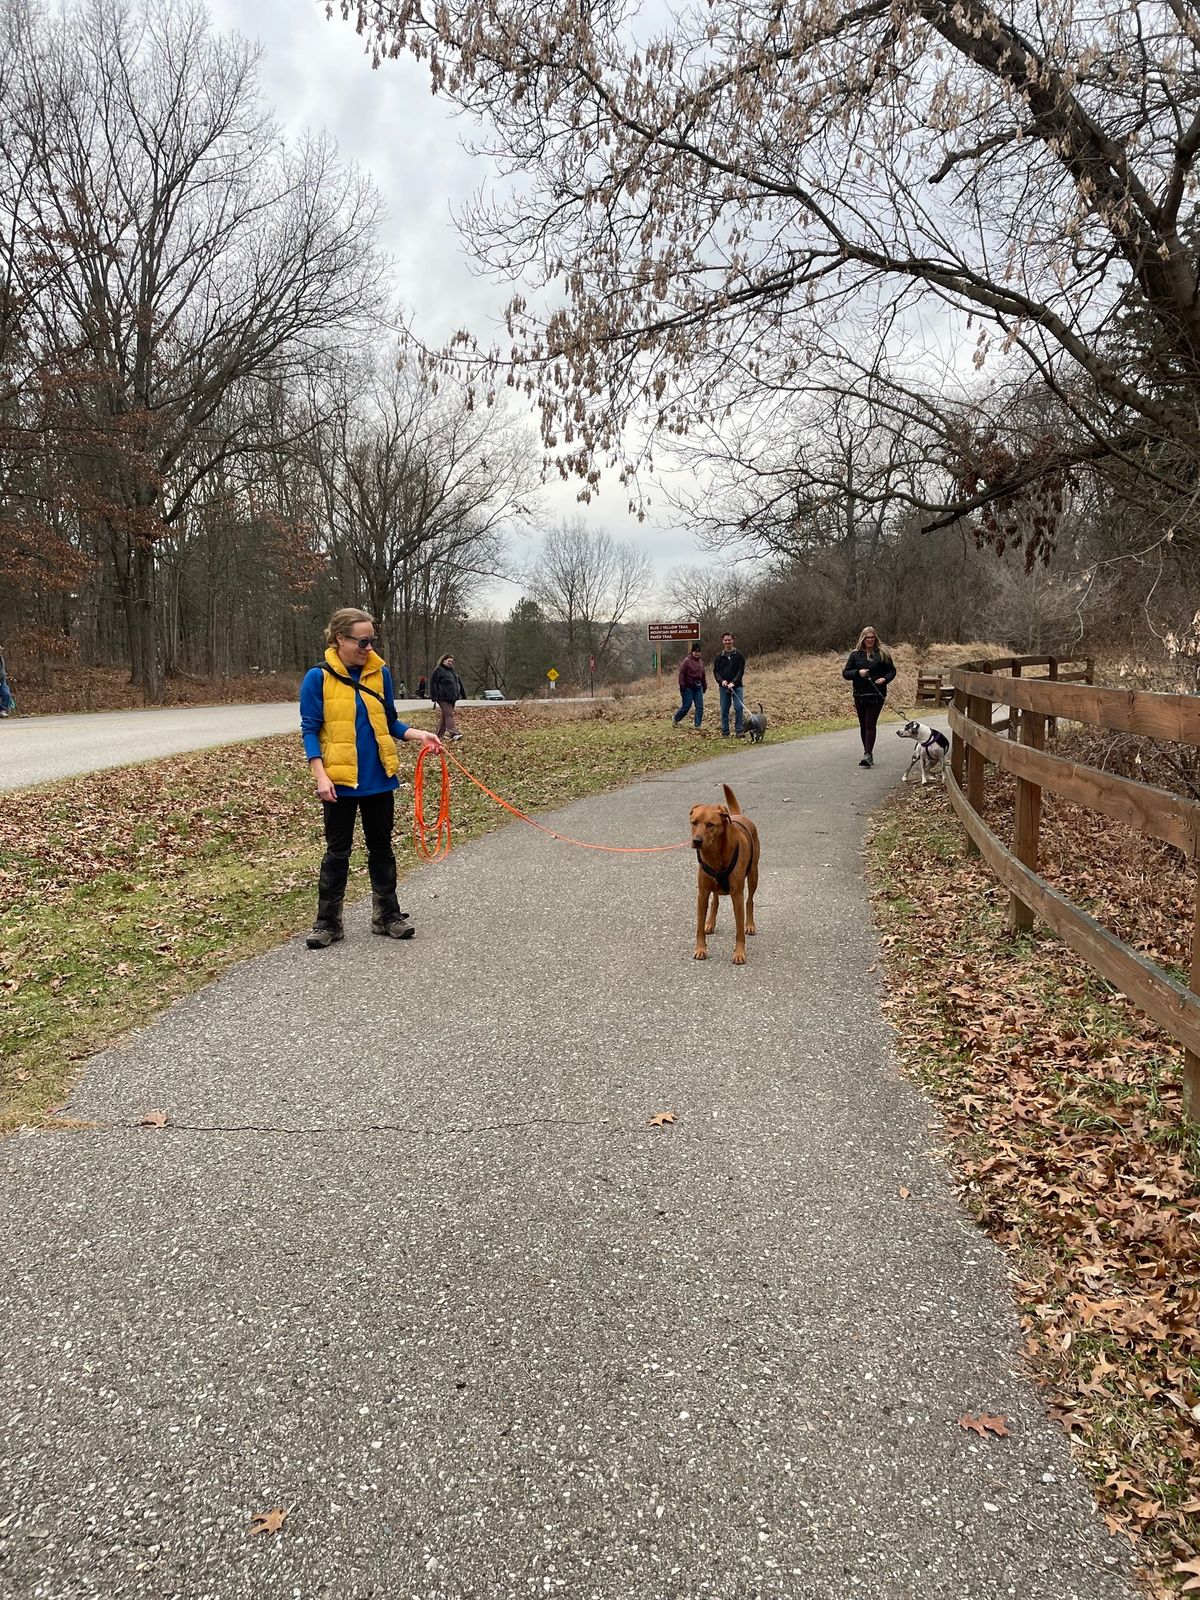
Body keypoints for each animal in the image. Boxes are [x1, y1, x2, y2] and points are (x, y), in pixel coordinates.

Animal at [694, 777, 761, 953]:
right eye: (694, 822)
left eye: (710, 824)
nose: (696, 841)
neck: (714, 855)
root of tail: (738, 815)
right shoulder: (702, 894)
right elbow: (699, 927)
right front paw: (700, 949)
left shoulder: (737, 895)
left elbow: (739, 931)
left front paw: (739, 953)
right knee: (715, 900)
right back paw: (710, 923)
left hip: (753, 875)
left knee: (750, 901)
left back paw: (750, 925)